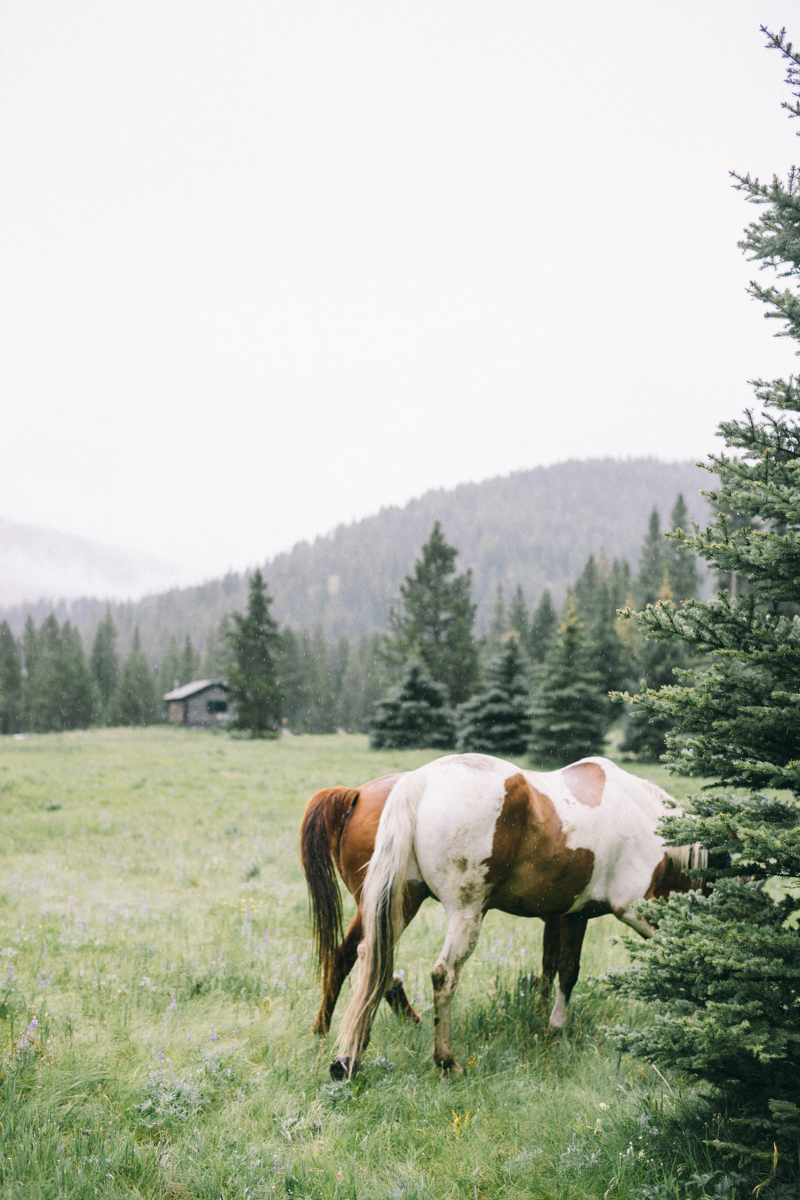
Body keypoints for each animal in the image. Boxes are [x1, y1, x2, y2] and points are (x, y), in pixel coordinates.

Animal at [335, 748, 710, 1080]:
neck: (647, 819)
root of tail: (420, 781)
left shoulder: (573, 916)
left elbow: (563, 970)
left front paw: (553, 1029)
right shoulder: (637, 911)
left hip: (402, 903)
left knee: (373, 959)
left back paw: (348, 1058)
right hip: (466, 912)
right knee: (443, 974)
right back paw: (446, 1062)